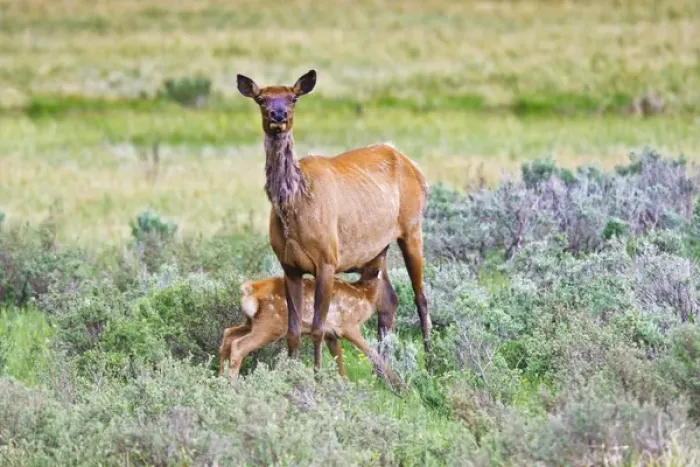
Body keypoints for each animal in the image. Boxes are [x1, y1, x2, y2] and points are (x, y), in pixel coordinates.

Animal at [218, 247, 406, 391]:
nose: (395, 299)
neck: (364, 296)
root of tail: (251, 290)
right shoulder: (349, 325)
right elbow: (372, 353)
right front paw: (402, 388)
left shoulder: (331, 333)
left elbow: (338, 359)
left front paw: (345, 385)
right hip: (270, 324)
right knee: (239, 345)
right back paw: (231, 386)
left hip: (251, 322)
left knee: (228, 335)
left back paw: (219, 379)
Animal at [236, 69, 431, 372]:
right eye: (261, 99)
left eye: (293, 98)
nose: (278, 115)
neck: (294, 208)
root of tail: (416, 169)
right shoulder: (289, 265)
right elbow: (293, 330)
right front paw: (292, 374)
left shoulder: (327, 260)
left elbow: (318, 327)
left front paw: (317, 375)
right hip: (376, 250)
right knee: (389, 300)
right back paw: (382, 369)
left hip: (411, 227)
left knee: (420, 297)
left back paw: (432, 362)